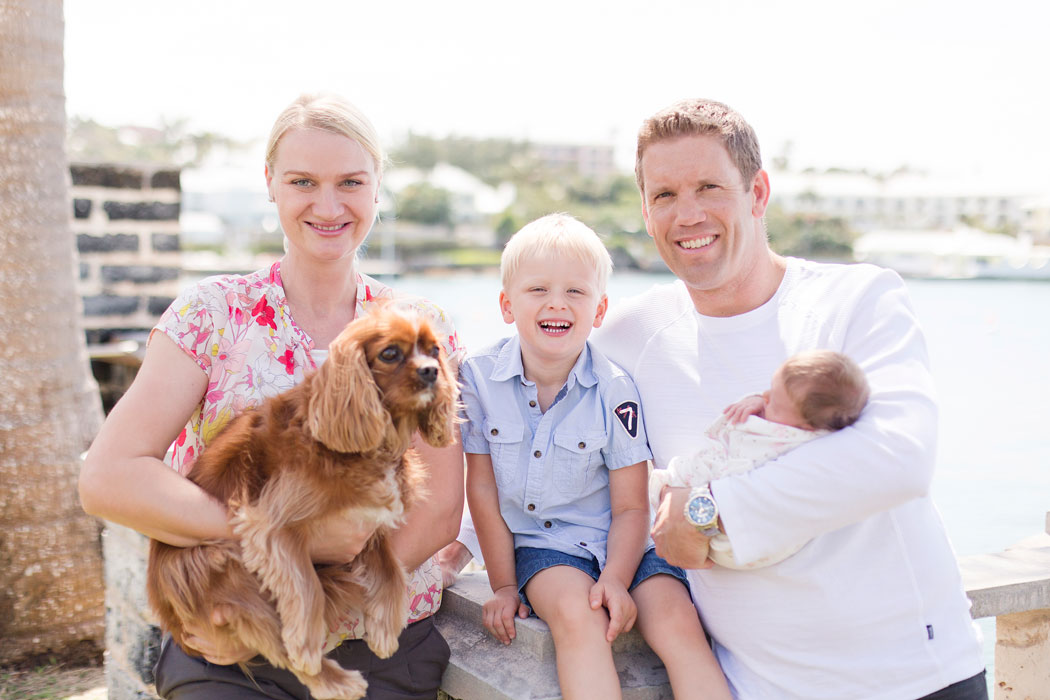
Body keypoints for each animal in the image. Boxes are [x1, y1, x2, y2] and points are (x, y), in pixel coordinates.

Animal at [147, 310, 455, 700]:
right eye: (390, 354)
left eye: (434, 350)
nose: (432, 371)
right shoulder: (269, 525)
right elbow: (308, 589)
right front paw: (307, 651)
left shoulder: (371, 525)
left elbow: (391, 569)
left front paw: (385, 627)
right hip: (225, 570)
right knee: (275, 637)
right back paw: (334, 681)